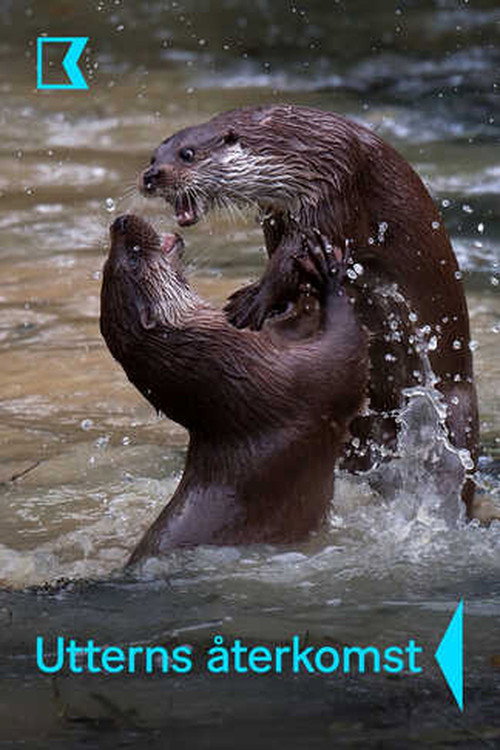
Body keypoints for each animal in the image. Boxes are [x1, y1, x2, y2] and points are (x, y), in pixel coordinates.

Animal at [100, 215, 368, 564]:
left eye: (111, 259)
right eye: (133, 257)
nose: (120, 221)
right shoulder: (299, 381)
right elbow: (347, 353)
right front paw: (328, 272)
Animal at [139, 105, 479, 510]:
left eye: (187, 154)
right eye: (153, 156)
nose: (150, 176)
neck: (302, 151)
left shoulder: (334, 189)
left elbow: (293, 258)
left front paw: (254, 300)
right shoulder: (277, 212)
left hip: (456, 408)